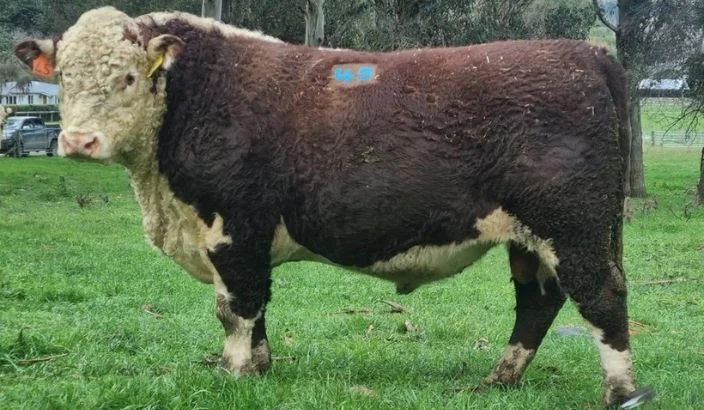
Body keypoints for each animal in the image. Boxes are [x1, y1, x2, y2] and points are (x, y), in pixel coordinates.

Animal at [15, 7, 648, 407]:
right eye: (62, 77)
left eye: (126, 77)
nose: (78, 141)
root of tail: (588, 54)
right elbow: (255, 309)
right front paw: (260, 368)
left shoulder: (234, 227)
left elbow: (235, 307)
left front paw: (236, 374)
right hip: (529, 235)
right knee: (537, 301)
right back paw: (498, 380)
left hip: (574, 225)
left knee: (601, 296)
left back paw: (619, 393)